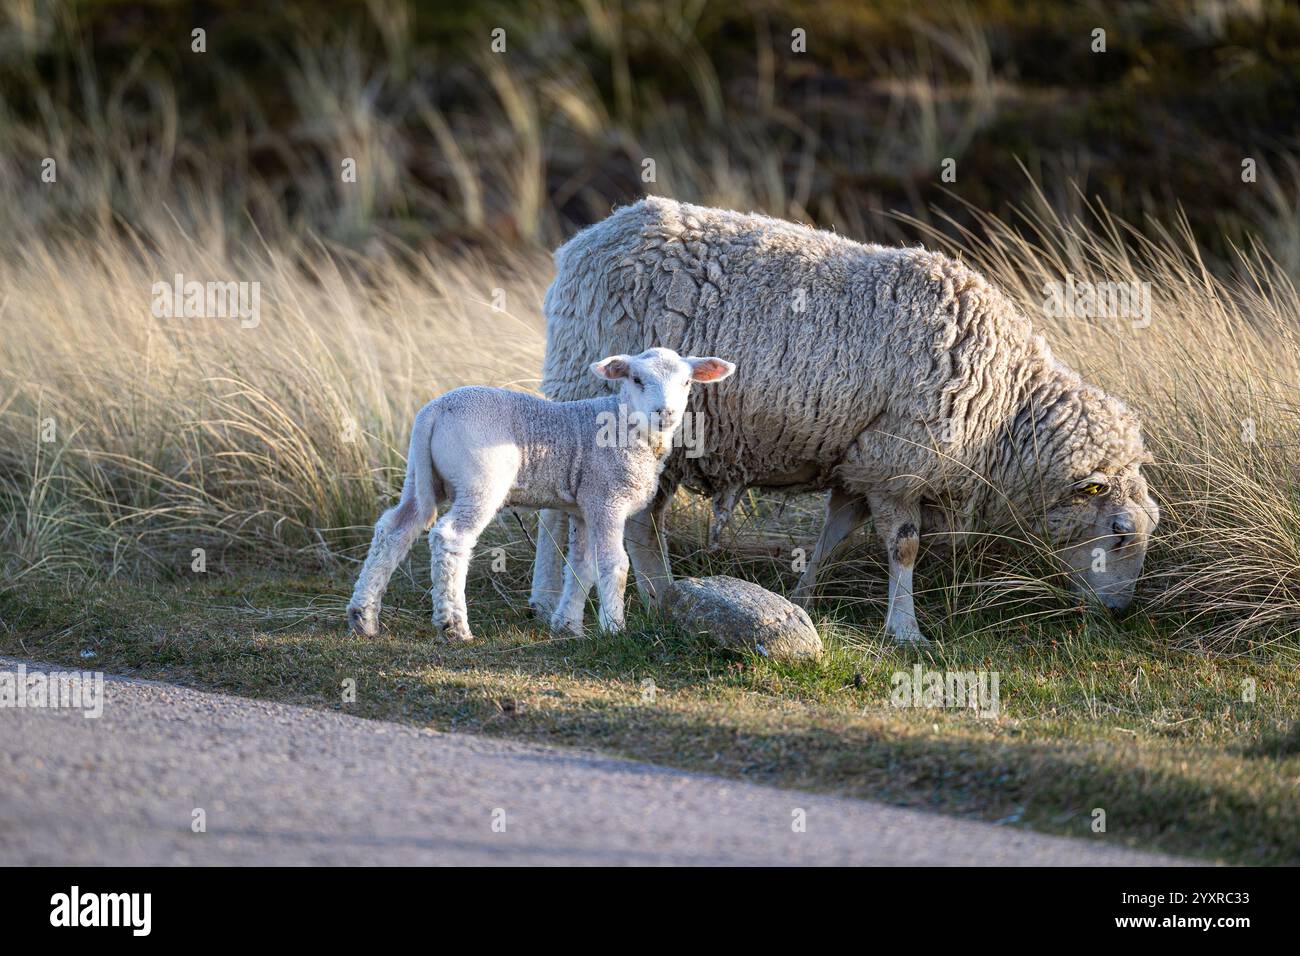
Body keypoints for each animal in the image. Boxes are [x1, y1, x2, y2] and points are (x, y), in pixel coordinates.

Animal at [347, 346, 735, 642]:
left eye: (687, 382)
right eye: (637, 380)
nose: (665, 412)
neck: (626, 426)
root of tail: (435, 409)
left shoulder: (583, 505)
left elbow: (582, 565)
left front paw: (568, 626)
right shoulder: (607, 497)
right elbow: (614, 564)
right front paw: (614, 628)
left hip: (421, 475)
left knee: (396, 528)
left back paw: (363, 617)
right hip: (481, 481)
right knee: (450, 537)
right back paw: (454, 625)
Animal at [529, 197, 1159, 644]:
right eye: (1119, 531)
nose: (1119, 613)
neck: (1007, 404)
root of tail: (582, 244)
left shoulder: (862, 462)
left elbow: (833, 538)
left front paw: (804, 597)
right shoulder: (899, 459)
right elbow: (904, 549)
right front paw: (905, 630)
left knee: (606, 515)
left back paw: (608, 599)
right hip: (586, 387)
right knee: (578, 513)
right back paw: (595, 597)